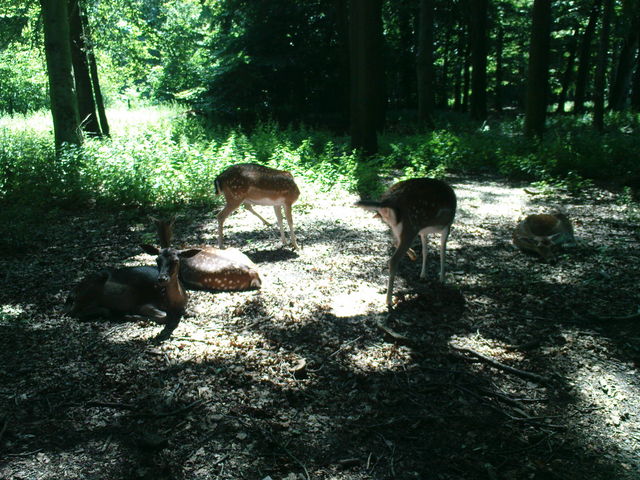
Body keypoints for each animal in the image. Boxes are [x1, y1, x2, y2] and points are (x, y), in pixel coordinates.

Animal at [65, 242, 200, 340]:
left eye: (176, 260)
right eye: (157, 260)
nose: (162, 278)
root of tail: (72, 292)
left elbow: (192, 312)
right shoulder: (144, 304)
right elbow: (164, 316)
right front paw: (135, 316)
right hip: (89, 290)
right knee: (73, 312)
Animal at [356, 178, 456, 306]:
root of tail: (387, 202)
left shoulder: (423, 231)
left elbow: (425, 250)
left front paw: (423, 274)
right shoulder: (447, 226)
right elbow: (443, 251)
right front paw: (442, 279)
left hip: (395, 226)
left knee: (395, 242)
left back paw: (413, 257)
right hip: (411, 225)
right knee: (393, 259)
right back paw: (389, 300)